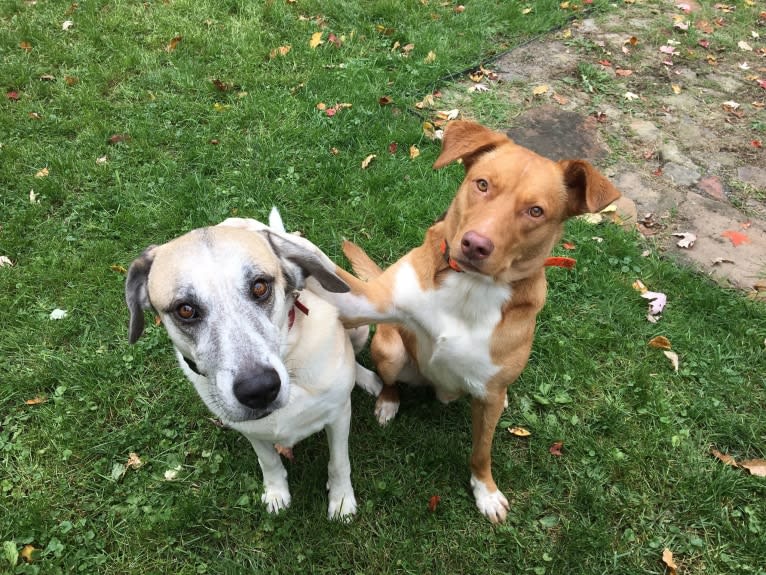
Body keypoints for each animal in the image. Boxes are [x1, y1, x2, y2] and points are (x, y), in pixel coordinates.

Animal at [308, 120, 620, 520]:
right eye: (482, 184)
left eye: (535, 211)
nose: (476, 244)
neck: (470, 288)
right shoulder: (371, 299)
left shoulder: (487, 399)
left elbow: (481, 451)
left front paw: (485, 491)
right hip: (391, 349)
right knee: (390, 380)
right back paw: (388, 402)